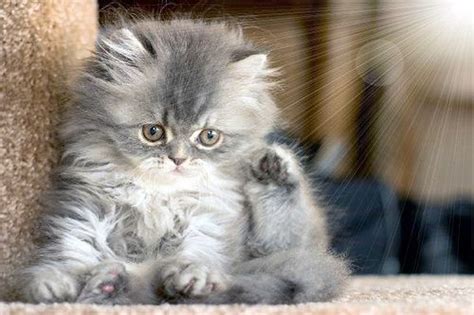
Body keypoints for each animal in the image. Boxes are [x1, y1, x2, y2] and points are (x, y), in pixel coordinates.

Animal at [20, 18, 348, 304]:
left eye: (208, 136)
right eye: (153, 132)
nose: (178, 159)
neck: (157, 194)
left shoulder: (207, 219)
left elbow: (193, 253)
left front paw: (192, 276)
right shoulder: (87, 210)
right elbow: (72, 250)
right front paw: (54, 283)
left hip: (279, 245)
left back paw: (272, 170)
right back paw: (110, 284)